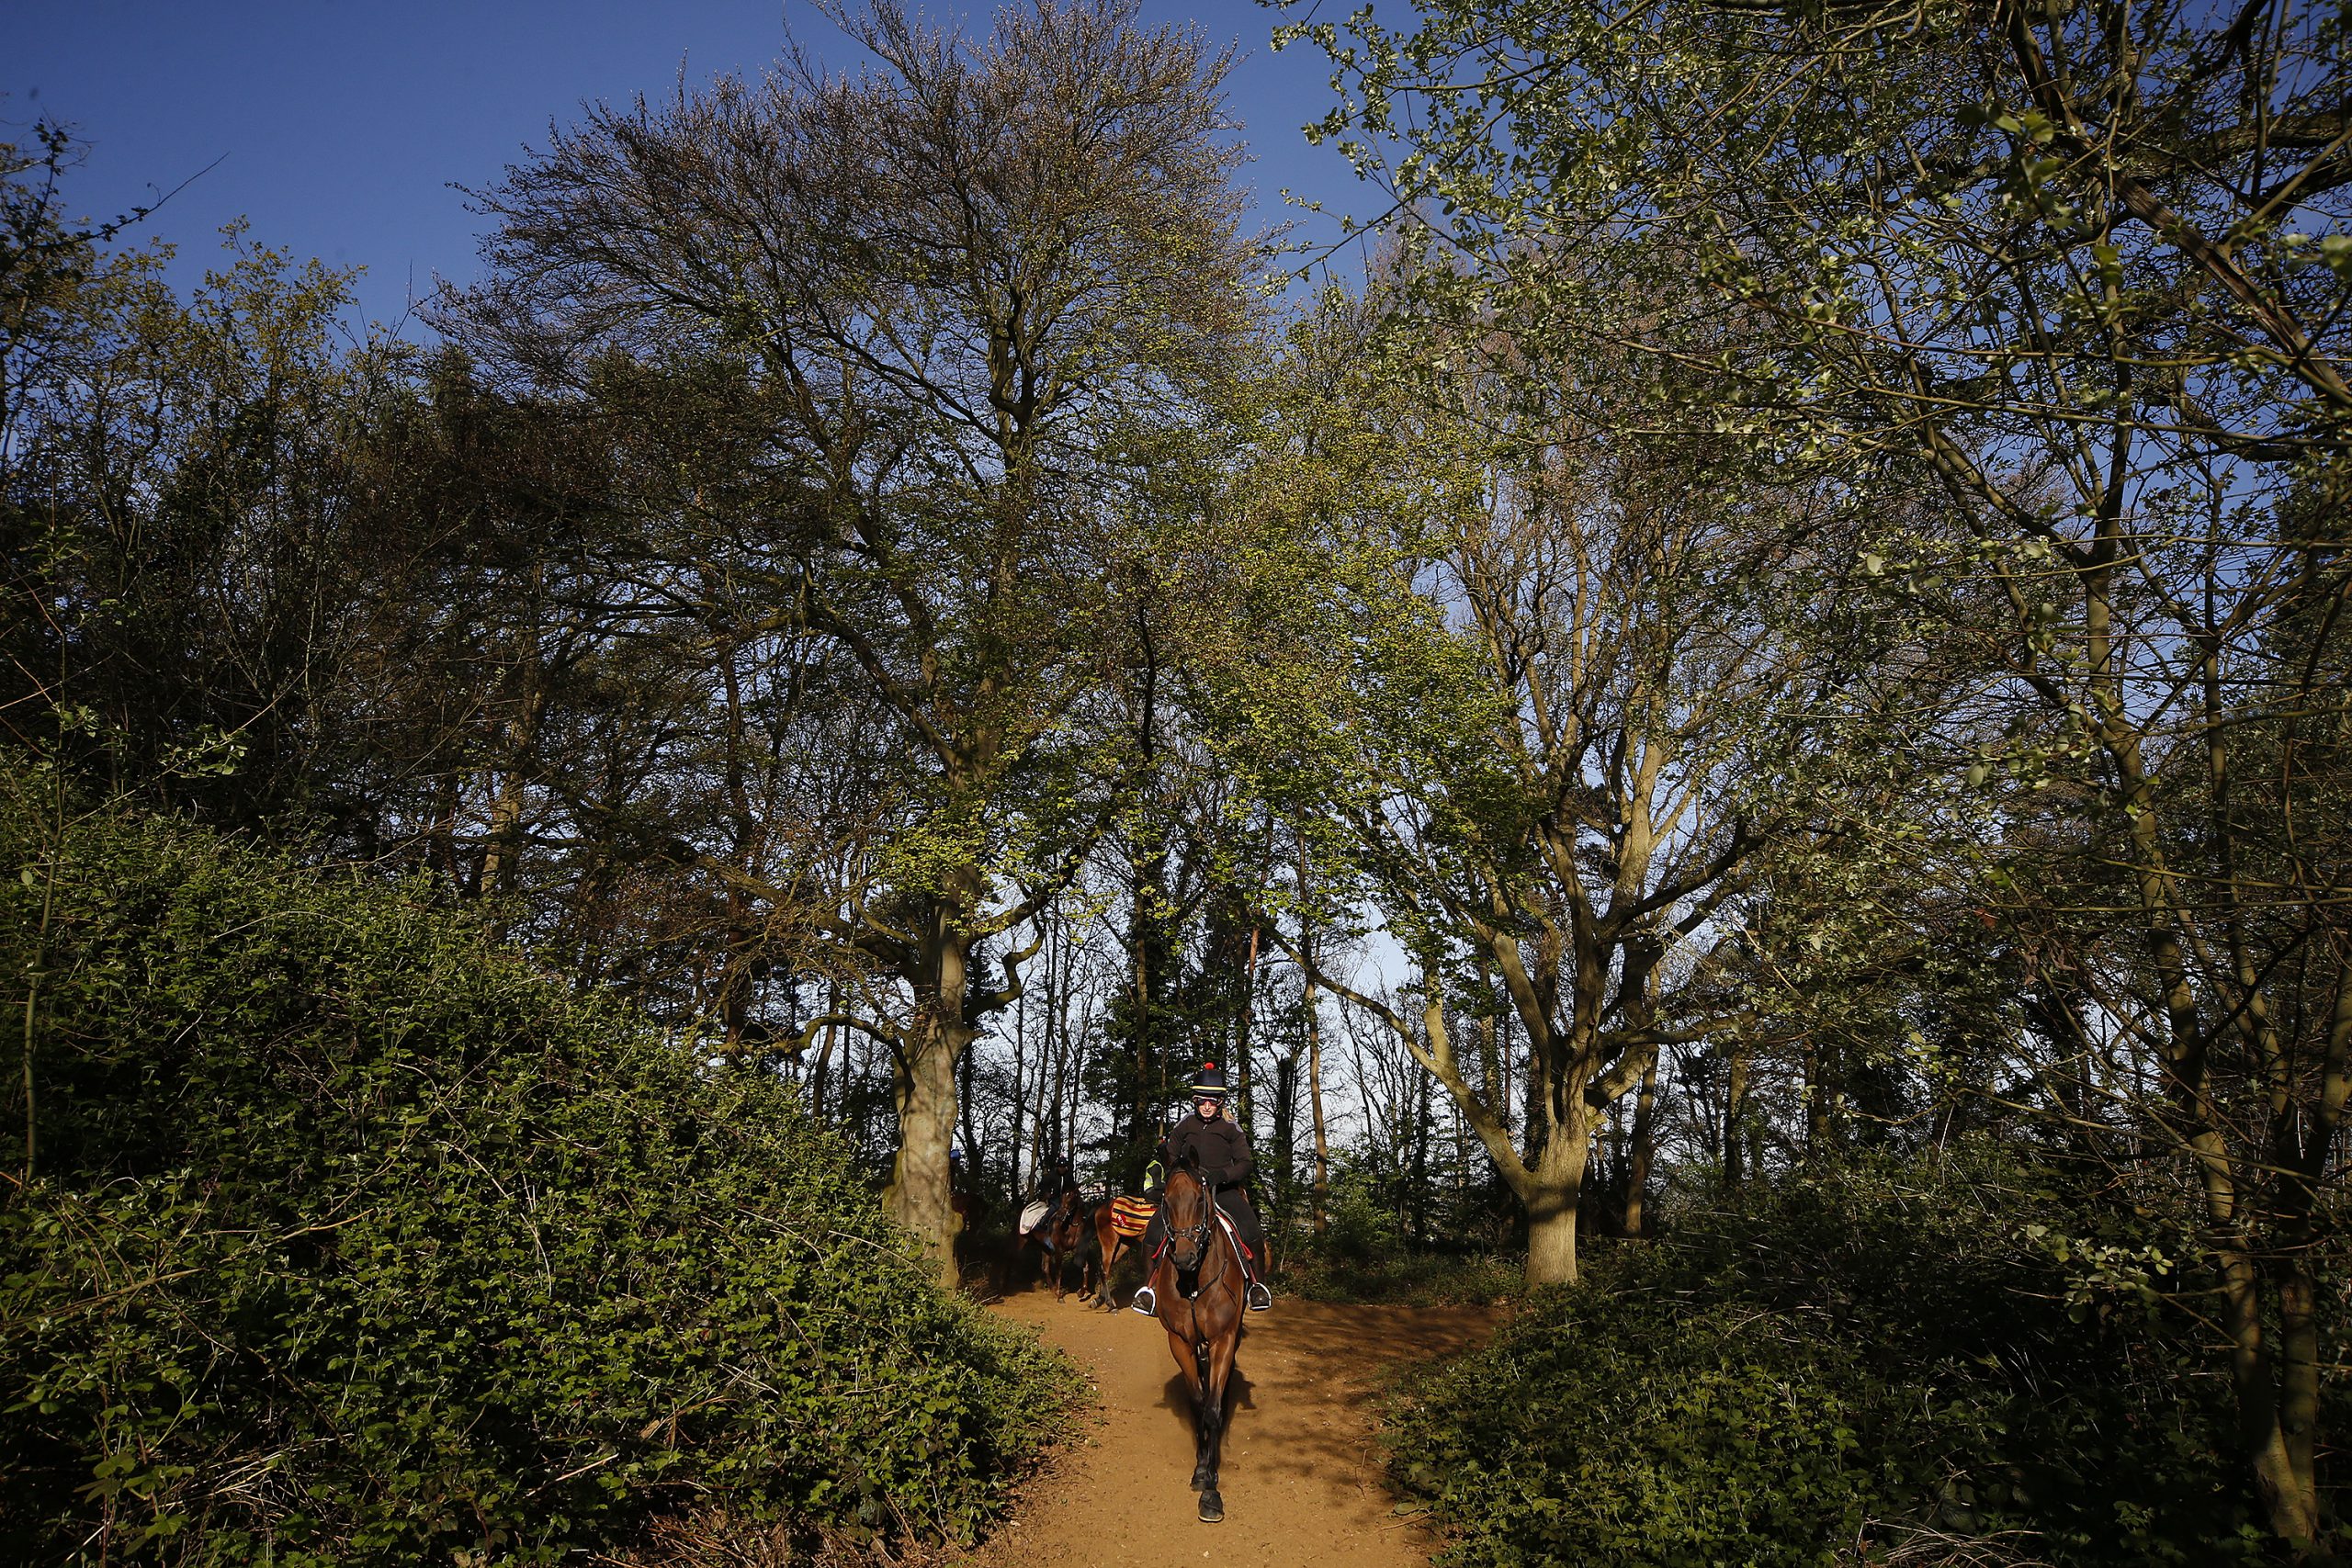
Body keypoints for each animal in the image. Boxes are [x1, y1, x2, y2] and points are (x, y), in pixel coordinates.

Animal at [1143, 1152, 1241, 1523]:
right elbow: (1199, 1403)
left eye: (1200, 1200)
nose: (1185, 1257)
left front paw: (1212, 1490)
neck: (1194, 1282)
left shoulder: (1223, 1340)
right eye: (1167, 1202)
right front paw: (1201, 1469)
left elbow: (1212, 1409)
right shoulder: (1180, 1342)